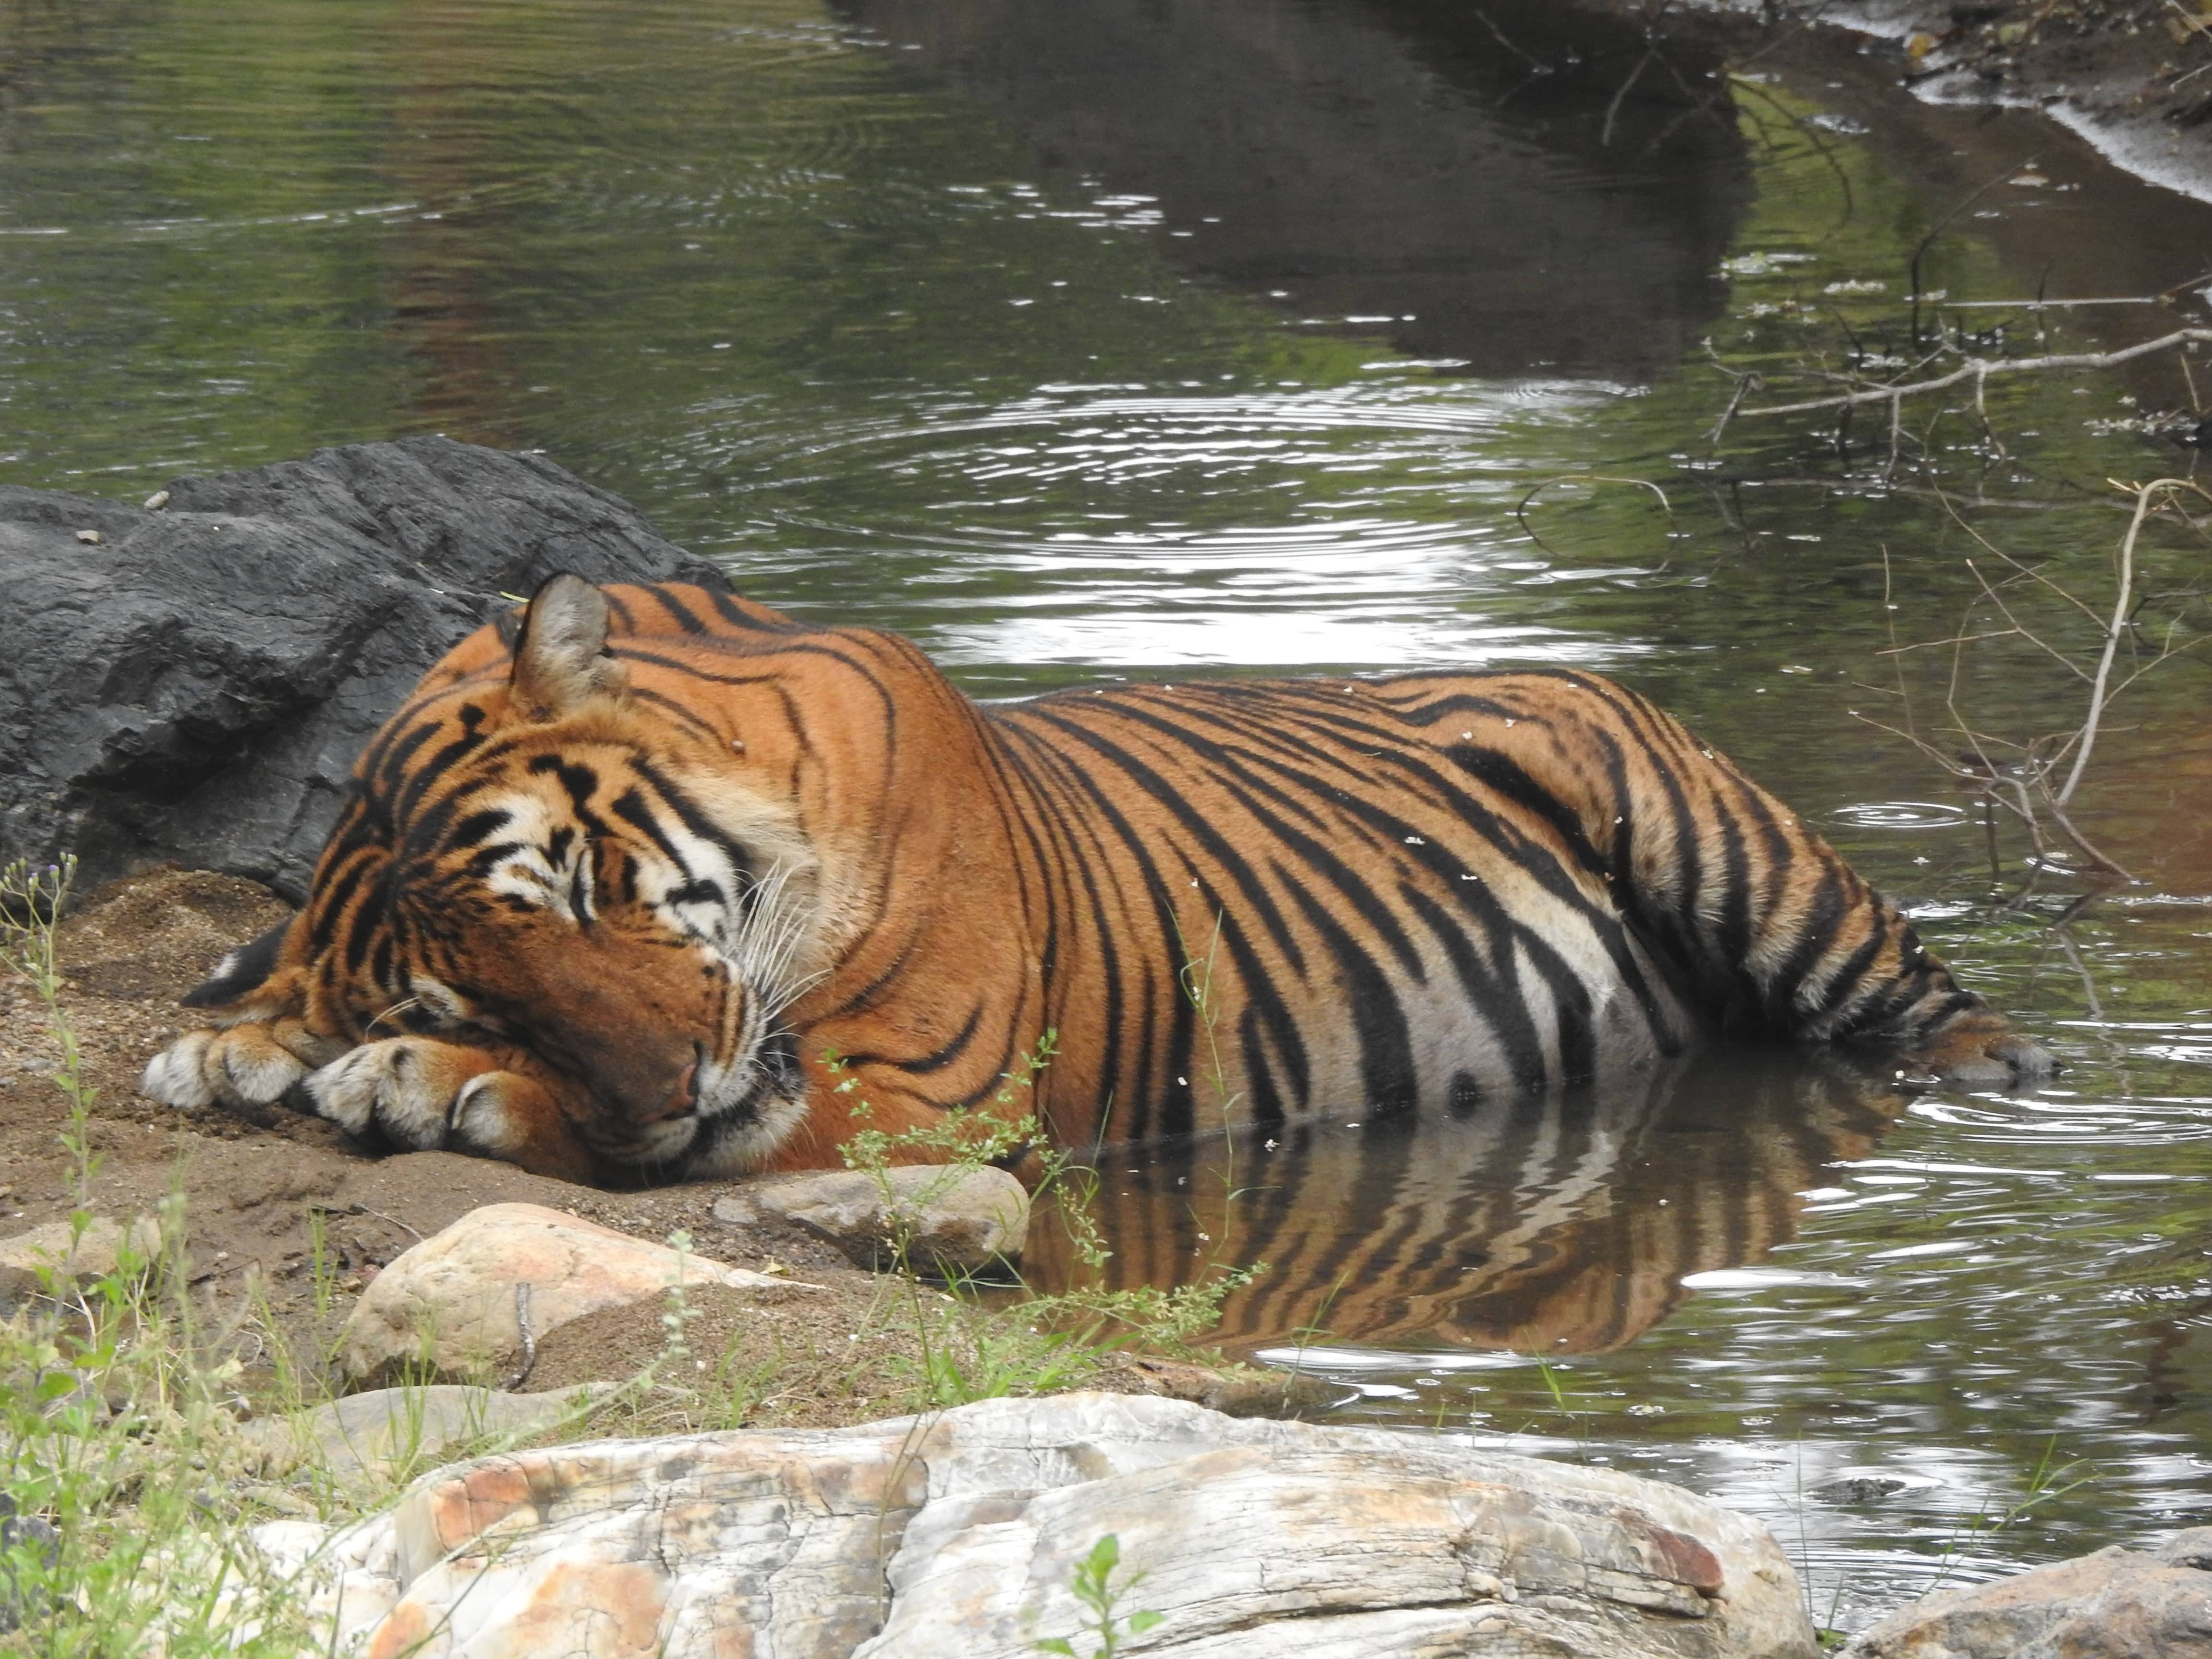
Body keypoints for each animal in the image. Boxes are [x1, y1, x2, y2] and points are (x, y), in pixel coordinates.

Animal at [139, 574, 2051, 1185]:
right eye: (486, 975)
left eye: (582, 893)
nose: (663, 1092)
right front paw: (255, 1037)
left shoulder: (919, 1087)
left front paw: (418, 1083)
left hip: (1713, 833)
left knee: (1946, 1014)